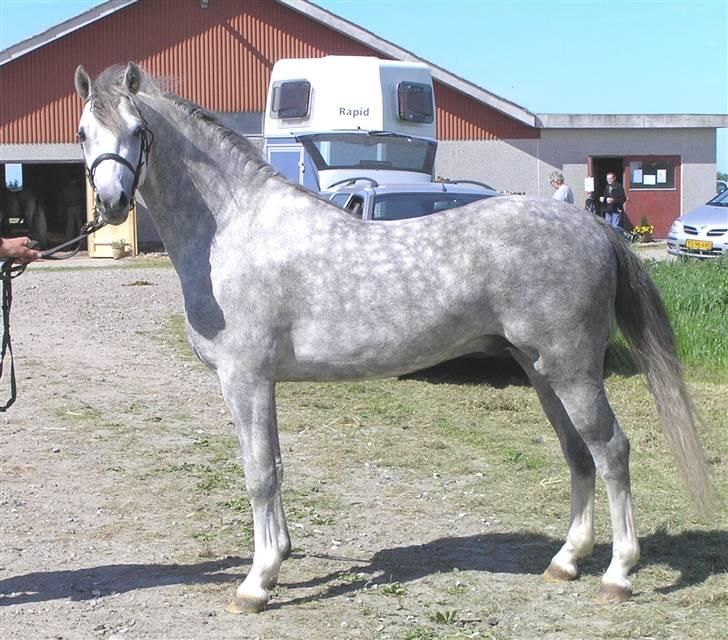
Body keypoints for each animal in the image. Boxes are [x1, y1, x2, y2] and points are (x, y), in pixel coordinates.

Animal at [73, 62, 715, 613]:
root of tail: (593, 226)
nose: (111, 203)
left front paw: (256, 583)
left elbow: (258, 474)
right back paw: (566, 561)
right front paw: (278, 559)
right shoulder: (261, 383)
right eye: (83, 132)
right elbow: (274, 466)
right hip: (541, 370)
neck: (234, 229)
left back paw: (619, 573)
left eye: (139, 130)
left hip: (572, 370)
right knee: (577, 454)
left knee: (611, 451)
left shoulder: (245, 378)